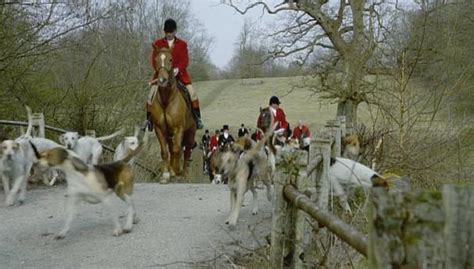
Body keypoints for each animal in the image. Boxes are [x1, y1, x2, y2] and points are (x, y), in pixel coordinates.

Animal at [145, 46, 195, 182]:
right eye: (156, 59)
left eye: (171, 59)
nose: (162, 80)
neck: (166, 99)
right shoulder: (159, 128)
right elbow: (165, 151)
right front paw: (166, 174)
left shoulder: (179, 128)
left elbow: (177, 150)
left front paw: (176, 171)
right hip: (169, 134)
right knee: (172, 149)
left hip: (190, 133)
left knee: (187, 151)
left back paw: (184, 173)